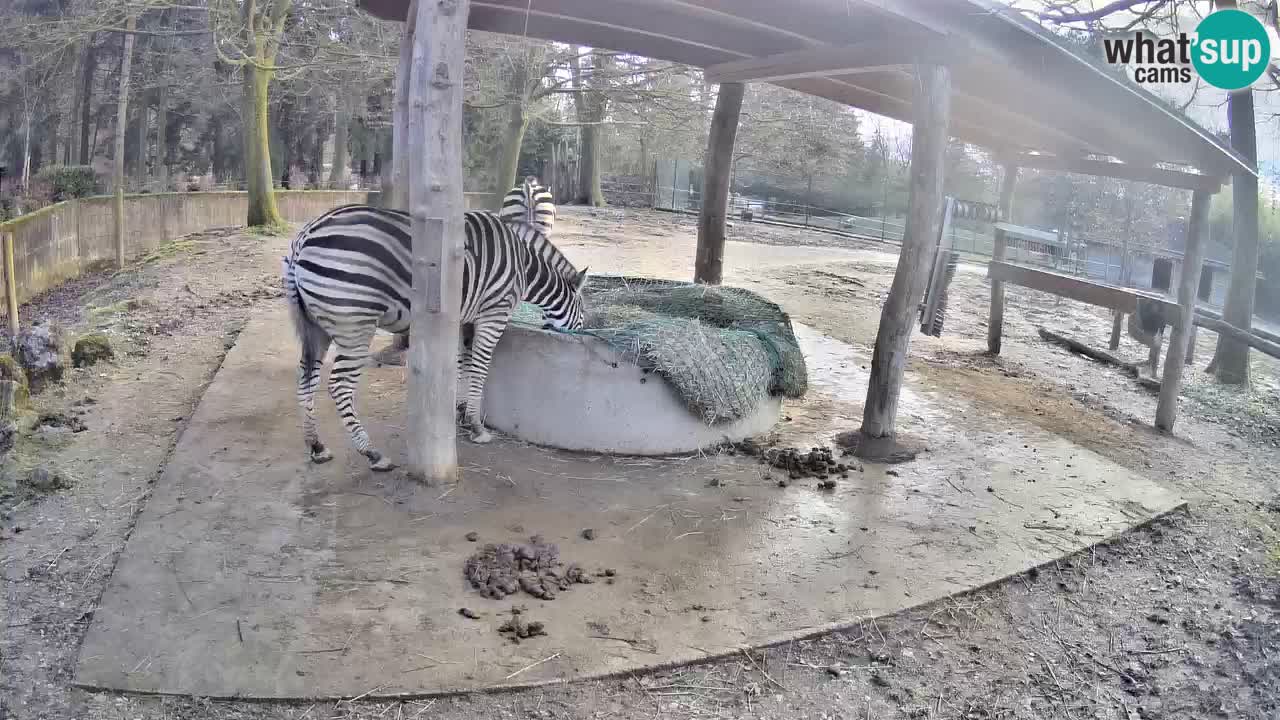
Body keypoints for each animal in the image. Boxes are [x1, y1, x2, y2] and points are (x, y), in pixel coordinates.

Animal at [282, 205, 588, 471]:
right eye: (583, 310)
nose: (584, 331)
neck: (523, 265)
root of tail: (305, 235)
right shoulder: (494, 314)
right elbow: (479, 368)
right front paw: (476, 425)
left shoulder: (464, 318)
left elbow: (464, 365)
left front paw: (460, 412)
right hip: (354, 324)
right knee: (339, 386)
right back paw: (373, 454)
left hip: (316, 326)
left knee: (306, 379)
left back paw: (316, 446)